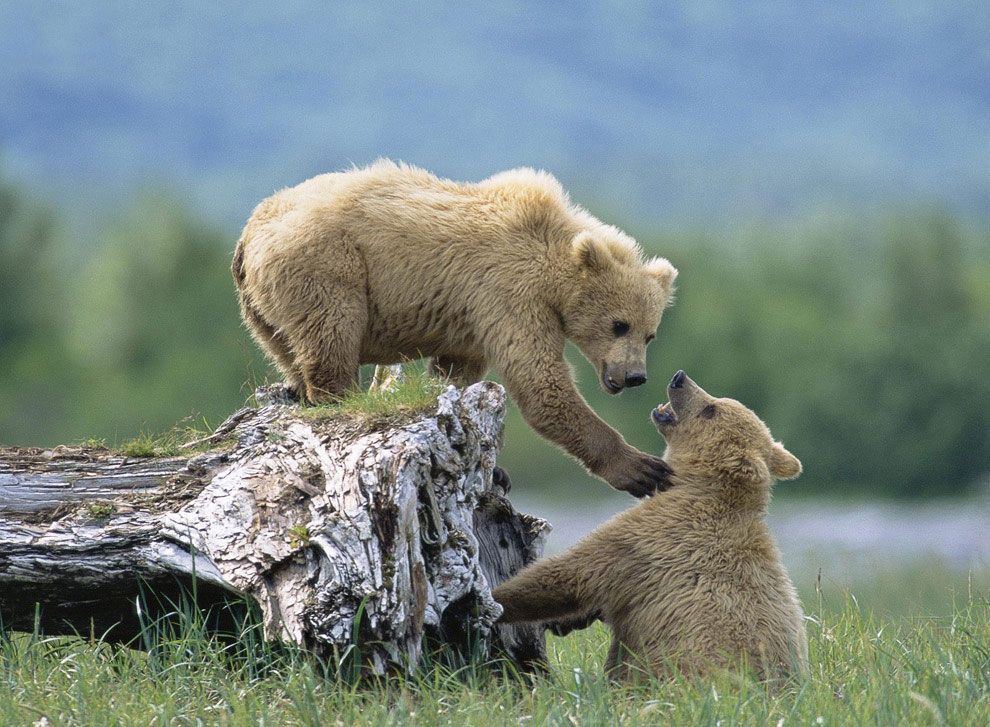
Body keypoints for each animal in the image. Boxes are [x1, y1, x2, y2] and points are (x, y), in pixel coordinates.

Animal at [234, 161, 680, 498]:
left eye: (650, 334)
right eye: (619, 325)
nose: (635, 376)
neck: (553, 263)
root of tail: (249, 232)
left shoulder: (473, 318)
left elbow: (457, 372)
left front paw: (494, 467)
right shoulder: (509, 293)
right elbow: (540, 383)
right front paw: (643, 469)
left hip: (262, 309)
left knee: (288, 349)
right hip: (325, 265)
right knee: (332, 333)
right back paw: (341, 396)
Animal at [492, 372, 808, 684]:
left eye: (711, 409)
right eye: (717, 401)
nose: (680, 378)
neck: (698, 486)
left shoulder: (652, 540)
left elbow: (569, 575)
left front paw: (496, 599)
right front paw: (564, 621)